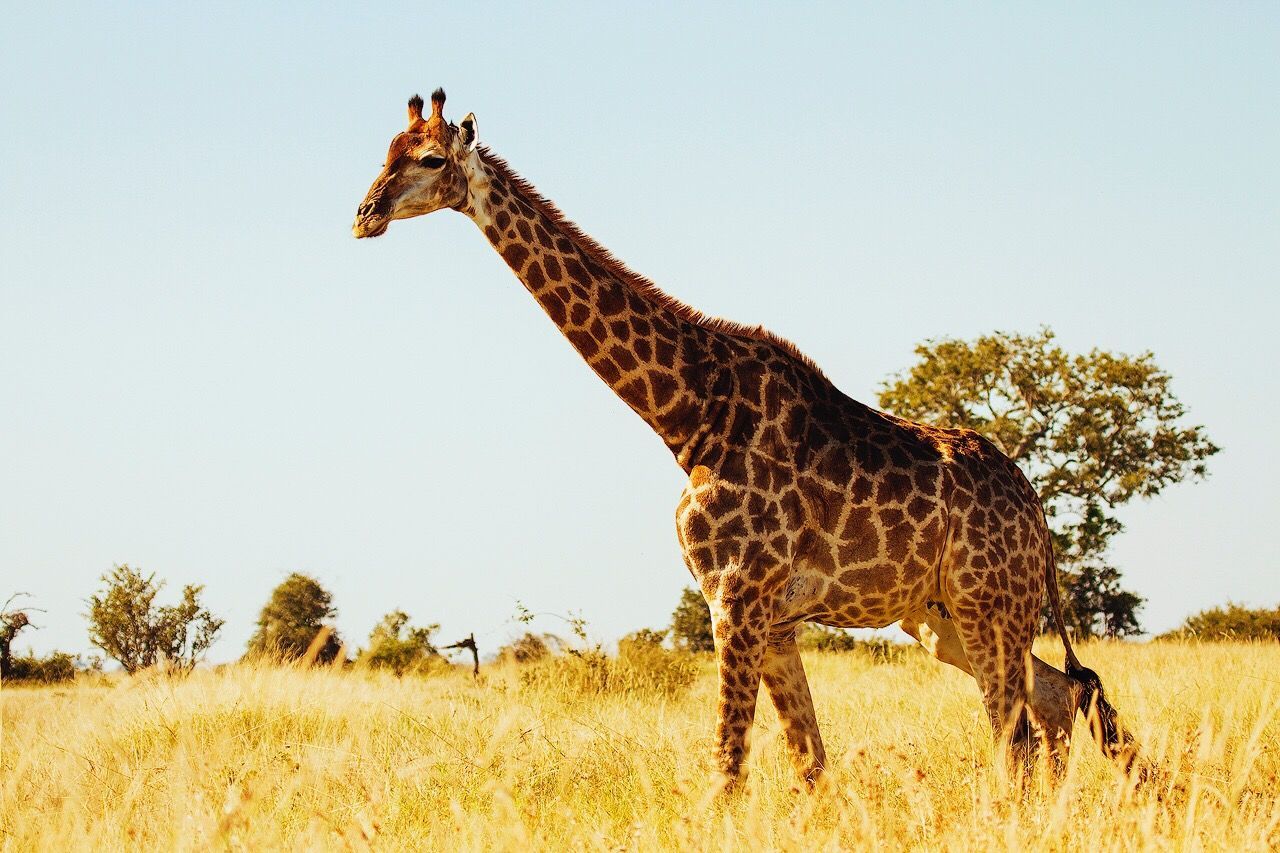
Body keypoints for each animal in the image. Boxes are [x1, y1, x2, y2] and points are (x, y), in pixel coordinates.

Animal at [353, 91, 1141, 783]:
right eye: (384, 151)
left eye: (429, 158)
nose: (364, 215)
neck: (687, 418)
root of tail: (1037, 513)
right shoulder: (772, 615)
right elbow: (809, 763)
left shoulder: (733, 598)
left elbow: (728, 764)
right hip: (942, 615)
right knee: (1056, 697)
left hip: (988, 605)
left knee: (1017, 728)